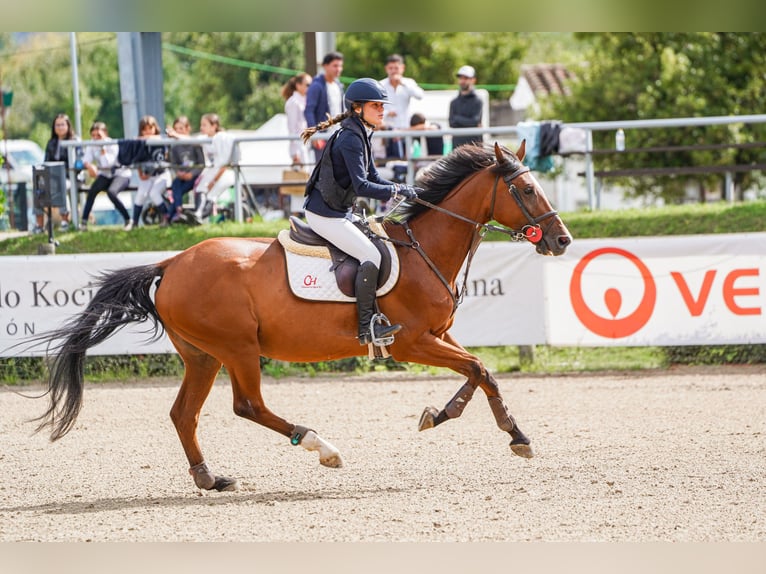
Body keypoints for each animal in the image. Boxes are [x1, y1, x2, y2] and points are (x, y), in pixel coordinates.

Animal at [31, 141, 572, 492]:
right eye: (526, 189)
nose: (562, 240)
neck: (425, 249)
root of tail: (172, 262)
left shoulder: (439, 336)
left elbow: (481, 372)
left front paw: (451, 418)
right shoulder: (412, 341)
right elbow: (479, 368)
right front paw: (507, 435)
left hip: (203, 356)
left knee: (184, 413)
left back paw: (210, 478)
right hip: (238, 348)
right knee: (247, 406)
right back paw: (321, 446)